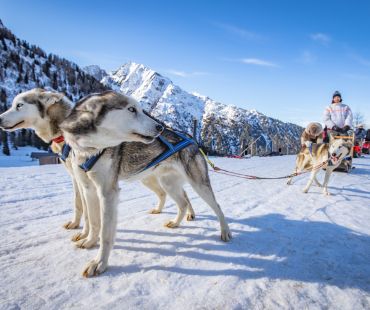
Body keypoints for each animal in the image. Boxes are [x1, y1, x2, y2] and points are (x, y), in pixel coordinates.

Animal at [0, 88, 194, 246]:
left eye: (19, 105)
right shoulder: (78, 178)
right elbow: (82, 206)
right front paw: (79, 228)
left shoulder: (83, 179)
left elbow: (84, 208)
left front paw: (84, 234)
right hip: (150, 178)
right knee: (178, 194)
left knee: (182, 195)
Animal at [60, 91, 231, 278]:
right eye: (131, 109)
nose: (160, 128)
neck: (91, 149)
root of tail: (191, 139)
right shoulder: (88, 189)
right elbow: (93, 221)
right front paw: (90, 241)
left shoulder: (107, 193)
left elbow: (105, 233)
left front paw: (99, 263)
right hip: (167, 184)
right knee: (183, 203)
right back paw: (176, 222)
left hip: (199, 184)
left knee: (217, 206)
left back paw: (225, 231)